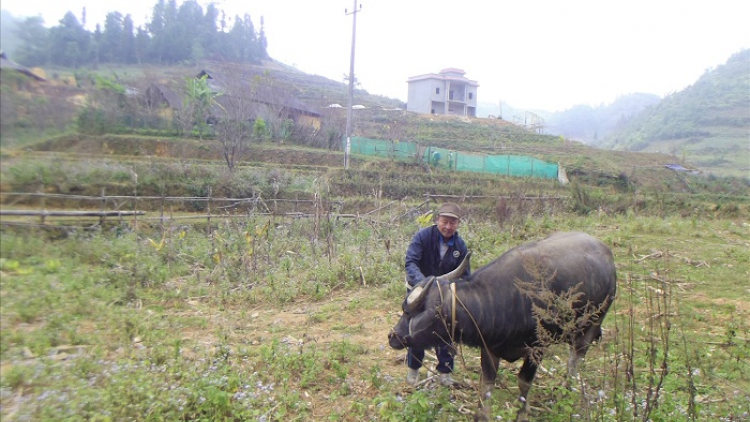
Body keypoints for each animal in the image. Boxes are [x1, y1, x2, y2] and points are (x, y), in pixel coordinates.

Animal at [388, 232, 616, 420]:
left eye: (408, 312)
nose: (392, 336)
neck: (504, 299)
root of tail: (607, 255)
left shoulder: (537, 349)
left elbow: (524, 382)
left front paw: (522, 414)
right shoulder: (490, 348)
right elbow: (487, 383)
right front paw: (482, 415)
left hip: (593, 325)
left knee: (576, 359)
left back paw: (565, 390)